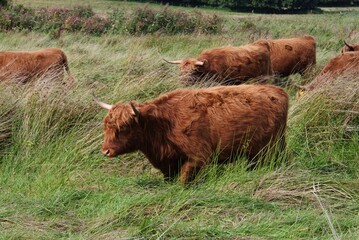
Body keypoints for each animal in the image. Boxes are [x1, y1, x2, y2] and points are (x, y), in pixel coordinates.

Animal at [93, 84, 290, 184]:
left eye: (124, 127)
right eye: (105, 127)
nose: (105, 151)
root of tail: (278, 91)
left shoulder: (199, 156)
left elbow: (183, 179)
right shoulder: (168, 163)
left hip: (269, 149)